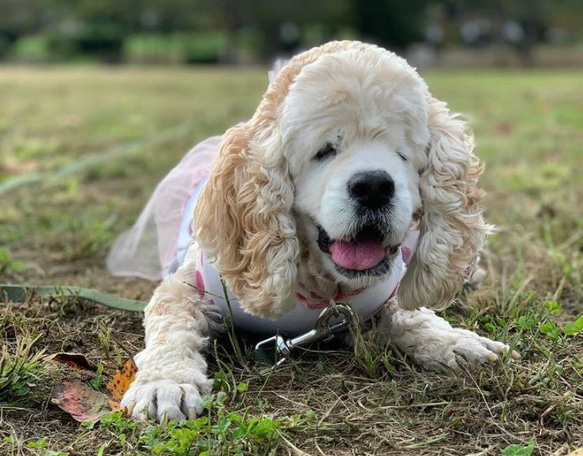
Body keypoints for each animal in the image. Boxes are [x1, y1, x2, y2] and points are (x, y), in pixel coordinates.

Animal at [110, 41, 520, 422]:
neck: (321, 290)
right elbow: (171, 323)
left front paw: (456, 342)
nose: (374, 186)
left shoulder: (382, 298)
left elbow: (410, 314)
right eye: (324, 150)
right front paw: (165, 382)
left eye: (402, 153)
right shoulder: (186, 286)